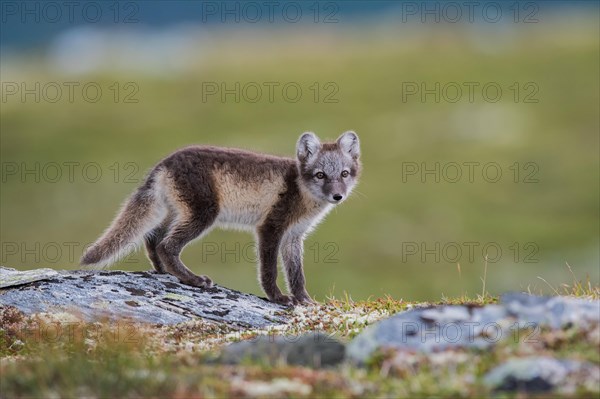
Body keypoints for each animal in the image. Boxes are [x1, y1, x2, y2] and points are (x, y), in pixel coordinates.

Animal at [81, 132, 360, 306]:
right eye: (320, 175)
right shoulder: (270, 228)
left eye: (344, 174)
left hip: (176, 212)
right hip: (203, 213)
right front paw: (278, 298)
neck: (302, 191)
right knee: (166, 245)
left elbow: (297, 274)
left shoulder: (293, 236)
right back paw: (193, 279)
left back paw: (163, 271)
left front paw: (304, 300)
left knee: (153, 238)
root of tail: (164, 163)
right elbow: (269, 270)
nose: (337, 196)